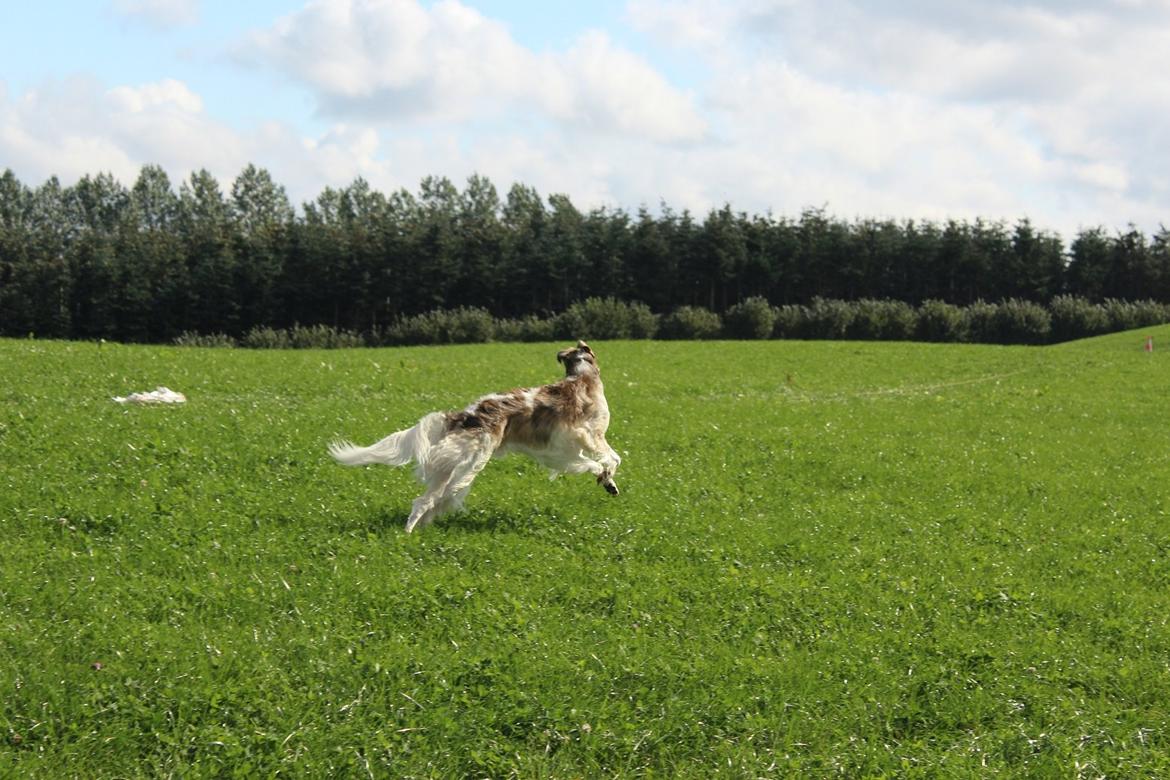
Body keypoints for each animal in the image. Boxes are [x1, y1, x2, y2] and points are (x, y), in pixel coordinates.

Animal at [329, 339, 622, 530]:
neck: (582, 376)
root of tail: (463, 415)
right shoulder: (588, 435)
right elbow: (611, 458)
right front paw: (608, 479)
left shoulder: (562, 452)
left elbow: (594, 463)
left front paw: (606, 480)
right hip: (469, 463)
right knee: (427, 500)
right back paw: (409, 532)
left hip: (455, 468)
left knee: (427, 500)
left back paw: (418, 528)